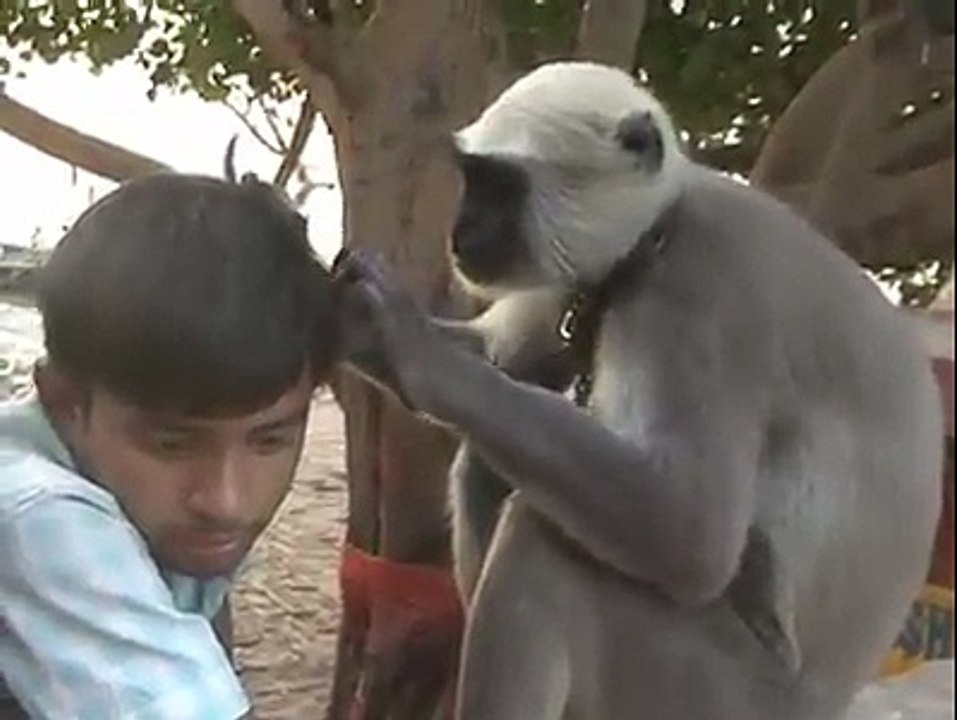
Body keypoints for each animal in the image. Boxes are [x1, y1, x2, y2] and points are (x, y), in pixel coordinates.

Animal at [332, 61, 944, 720]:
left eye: (499, 187)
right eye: (472, 179)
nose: (461, 228)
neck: (659, 225)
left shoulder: (699, 288)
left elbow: (690, 536)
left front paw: (412, 348)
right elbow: (499, 360)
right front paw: (359, 325)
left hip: (699, 688)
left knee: (539, 533)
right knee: (489, 470)